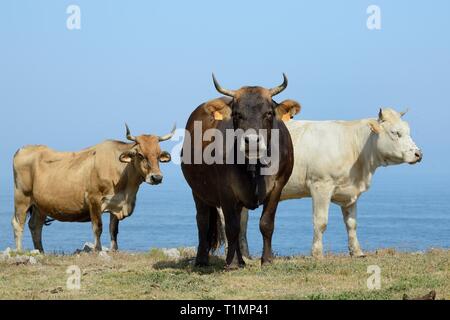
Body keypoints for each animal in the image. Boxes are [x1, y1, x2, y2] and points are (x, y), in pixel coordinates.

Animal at [12, 125, 174, 252]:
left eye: (159, 155)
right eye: (140, 154)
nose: (157, 177)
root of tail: (23, 148)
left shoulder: (116, 203)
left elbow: (113, 229)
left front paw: (114, 250)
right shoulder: (94, 199)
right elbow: (98, 227)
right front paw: (98, 250)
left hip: (41, 205)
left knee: (35, 226)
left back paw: (40, 251)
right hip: (22, 198)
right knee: (18, 224)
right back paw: (20, 251)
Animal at [181, 73, 300, 268]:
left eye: (268, 113)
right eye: (237, 114)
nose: (252, 141)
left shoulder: (278, 185)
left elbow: (266, 223)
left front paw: (267, 260)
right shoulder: (225, 189)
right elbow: (232, 227)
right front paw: (232, 263)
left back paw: (241, 260)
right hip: (198, 191)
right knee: (203, 221)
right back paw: (203, 259)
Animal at [234, 109, 424, 258]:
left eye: (408, 131)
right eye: (395, 132)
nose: (418, 154)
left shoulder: (350, 192)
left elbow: (351, 223)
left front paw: (357, 252)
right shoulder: (321, 185)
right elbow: (321, 221)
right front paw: (317, 253)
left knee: (242, 222)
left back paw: (246, 256)